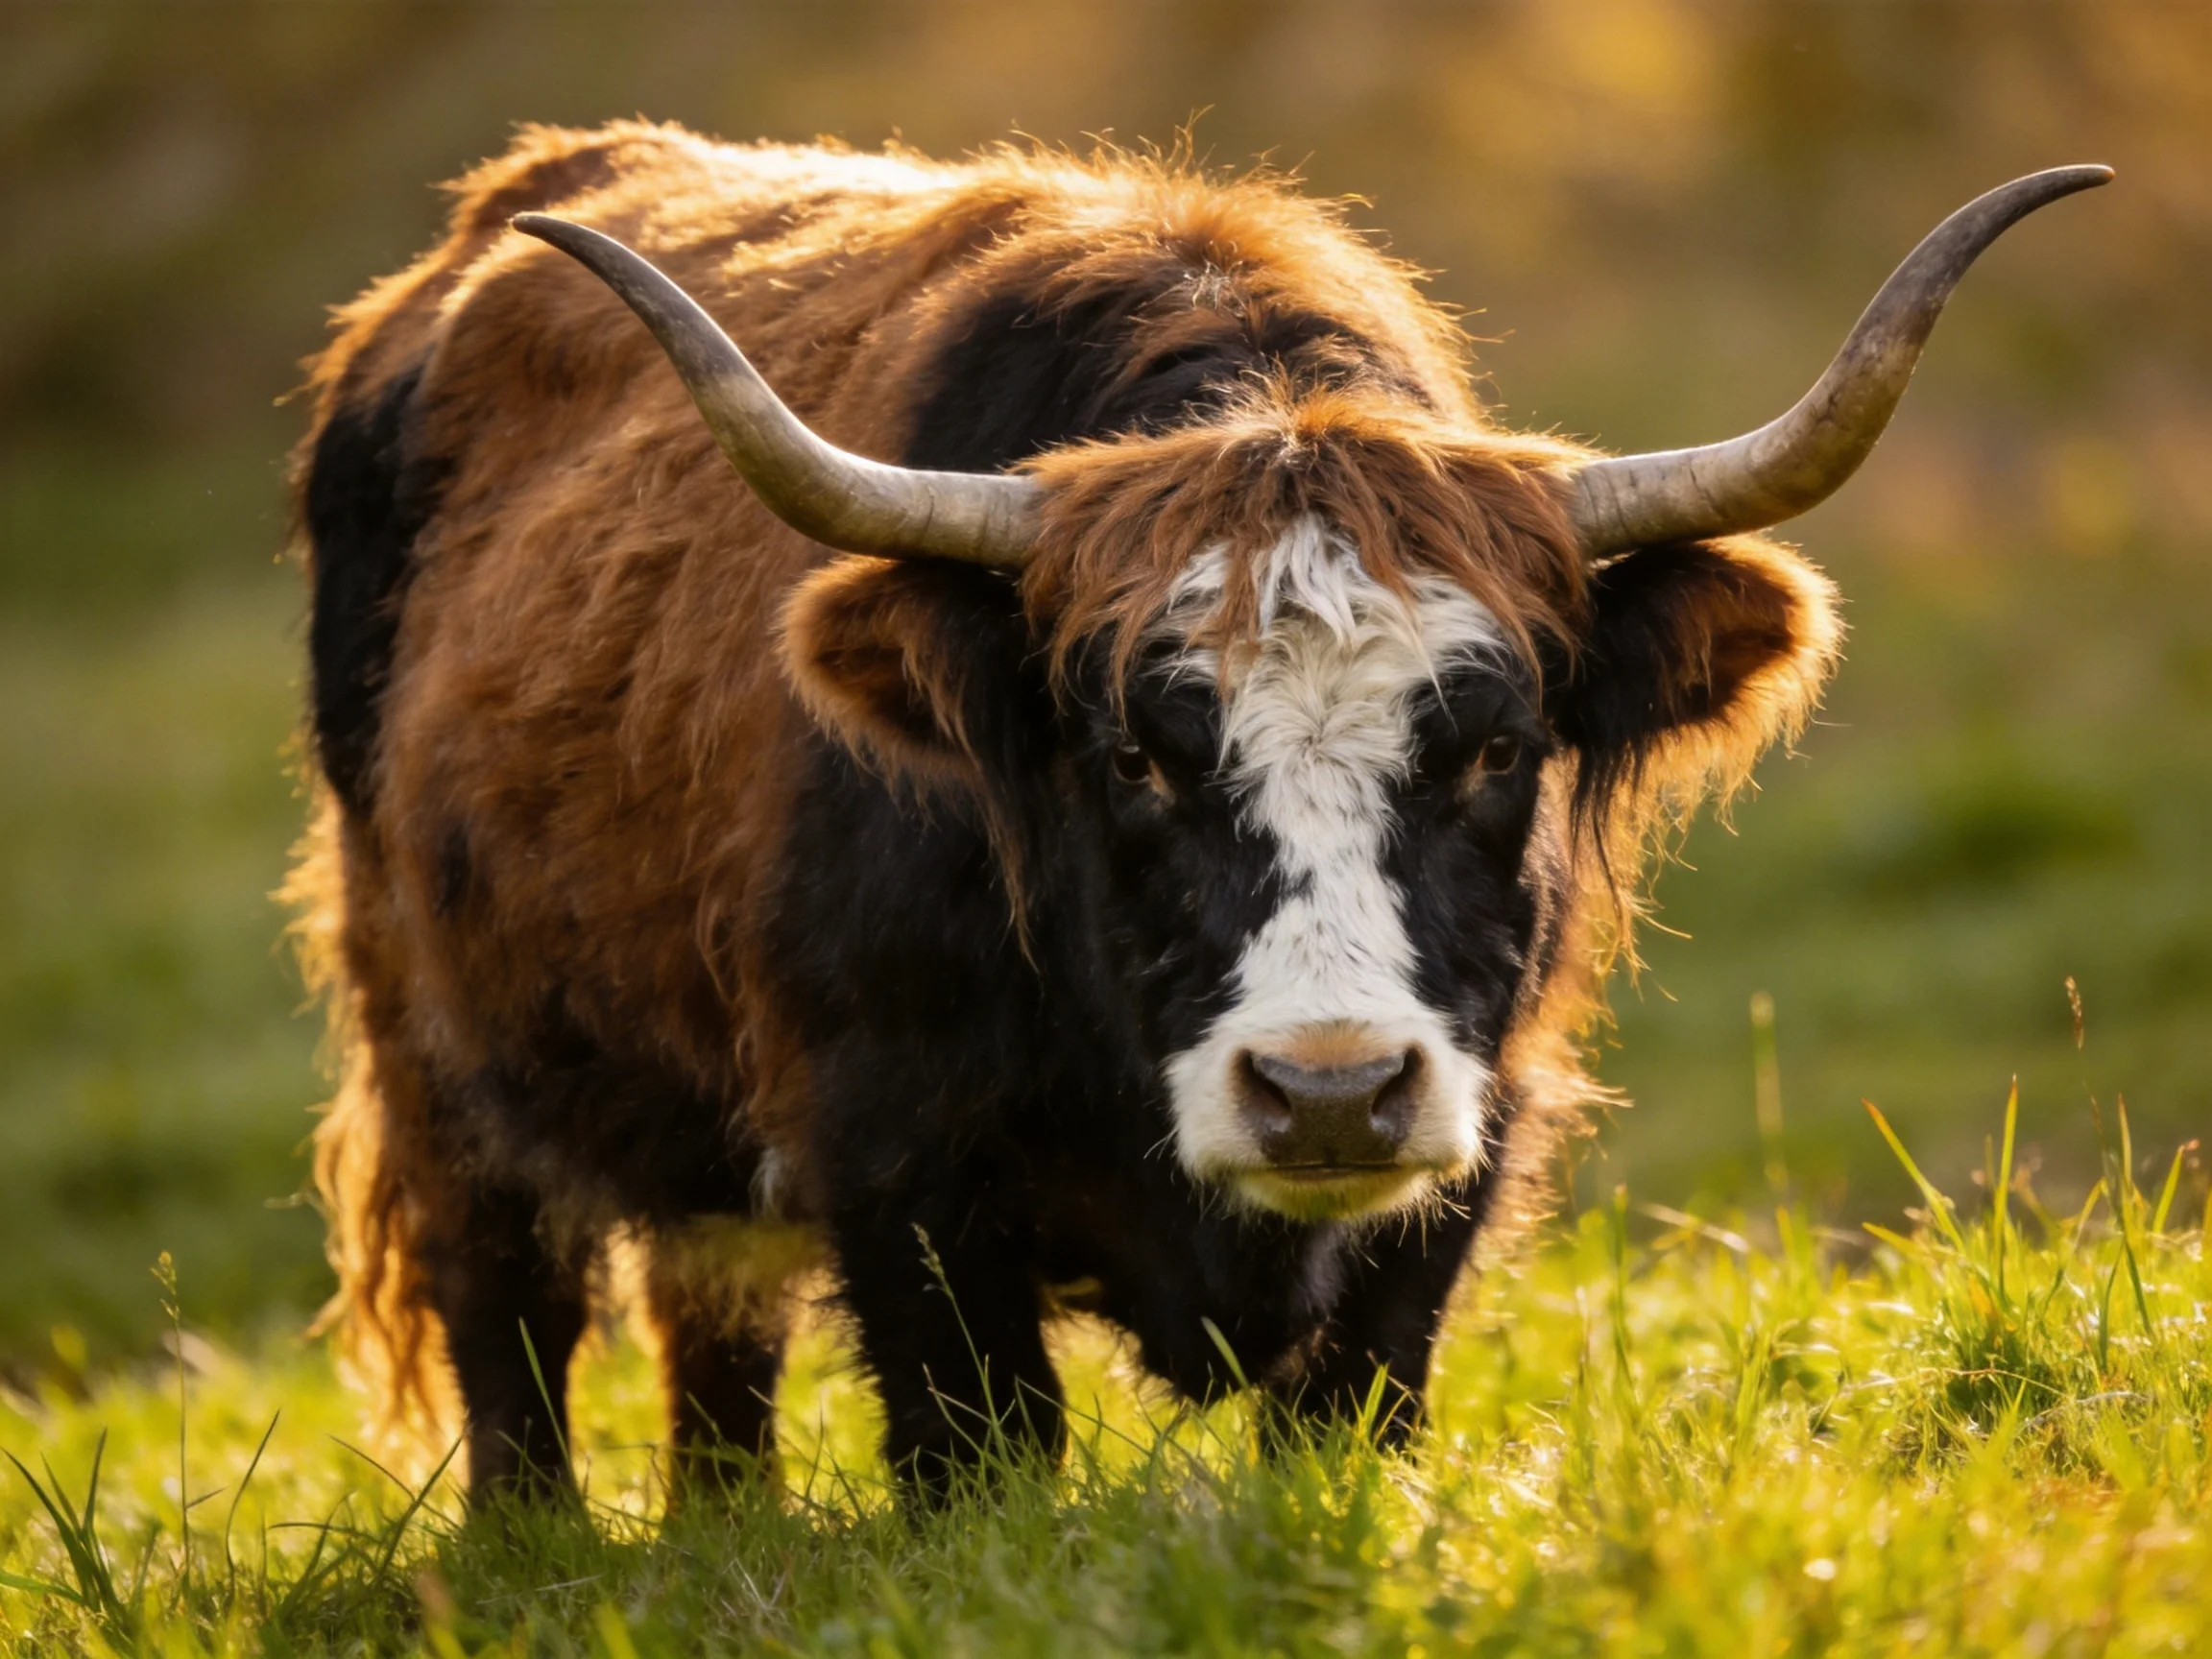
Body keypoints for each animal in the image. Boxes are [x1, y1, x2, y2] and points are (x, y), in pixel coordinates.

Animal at [285, 121, 2105, 1500]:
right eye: (1135, 754)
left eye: (1493, 744)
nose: (1328, 1089)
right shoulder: (894, 1157)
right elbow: (974, 1449)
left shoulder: (1465, 1145)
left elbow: (1353, 1409)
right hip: (432, 1040)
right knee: (510, 1329)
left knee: (707, 1338)